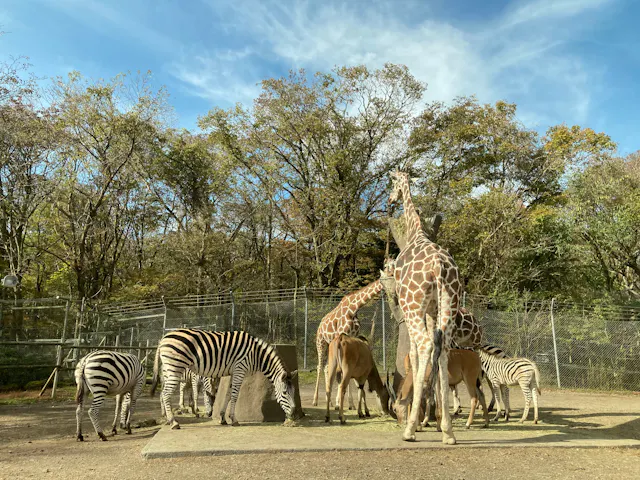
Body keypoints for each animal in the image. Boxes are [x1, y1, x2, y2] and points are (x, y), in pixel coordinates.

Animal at [150, 329, 298, 430]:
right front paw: (234, 419)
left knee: (163, 393)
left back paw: (167, 418)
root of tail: (163, 339)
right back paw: (173, 422)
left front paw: (222, 418)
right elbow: (234, 396)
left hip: (168, 370)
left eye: (294, 392)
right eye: (285, 393)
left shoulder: (233, 373)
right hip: (175, 368)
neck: (256, 354)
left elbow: (228, 394)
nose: (293, 413)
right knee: (166, 394)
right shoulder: (240, 369)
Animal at [312, 280, 384, 408]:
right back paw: (315, 400)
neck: (354, 307)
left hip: (329, 344)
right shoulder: (341, 334)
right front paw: (338, 402)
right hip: (321, 342)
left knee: (326, 367)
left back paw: (329, 400)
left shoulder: (353, 337)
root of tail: (320, 324)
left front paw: (350, 404)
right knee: (319, 367)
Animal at [387, 170, 462, 444]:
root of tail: (439, 266)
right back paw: (448, 431)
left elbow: (415, 353)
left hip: (413, 306)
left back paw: (410, 429)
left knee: (426, 345)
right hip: (449, 304)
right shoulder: (432, 310)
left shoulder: (410, 307)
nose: (391, 200)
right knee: (444, 350)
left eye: (393, 183)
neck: (415, 232)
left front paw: (416, 421)